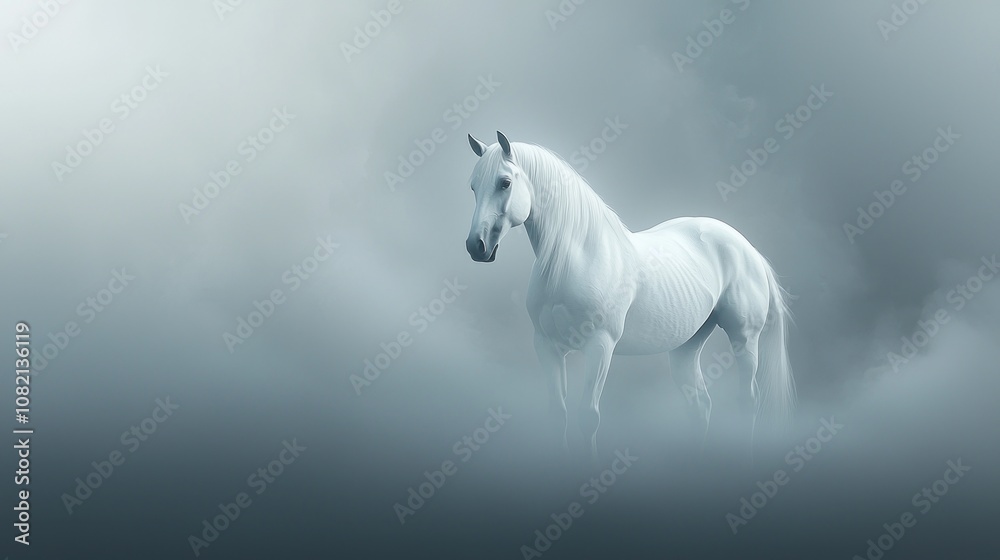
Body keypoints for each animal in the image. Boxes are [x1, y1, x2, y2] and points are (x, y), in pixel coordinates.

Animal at [464, 130, 796, 462]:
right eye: (473, 186)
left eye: (505, 182)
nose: (476, 246)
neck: (577, 259)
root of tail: (747, 247)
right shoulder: (546, 346)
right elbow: (558, 414)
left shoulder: (600, 346)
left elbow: (588, 417)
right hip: (687, 346)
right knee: (700, 404)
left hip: (744, 338)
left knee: (747, 400)